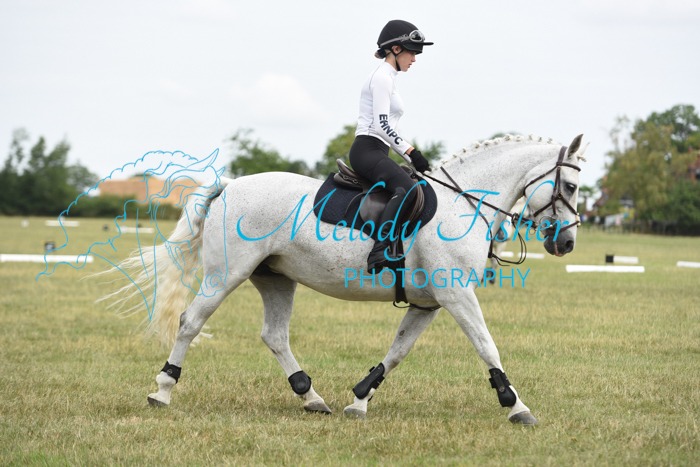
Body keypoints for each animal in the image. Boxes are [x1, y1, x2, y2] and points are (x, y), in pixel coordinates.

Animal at [103, 133, 586, 426]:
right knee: (190, 322)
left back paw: (310, 396)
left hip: (275, 279)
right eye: (573, 187)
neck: (462, 203)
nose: (567, 243)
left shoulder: (427, 303)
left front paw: (359, 399)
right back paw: (163, 390)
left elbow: (397, 352)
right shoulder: (456, 295)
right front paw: (516, 405)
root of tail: (231, 185)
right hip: (227, 275)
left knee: (274, 335)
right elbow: (487, 346)